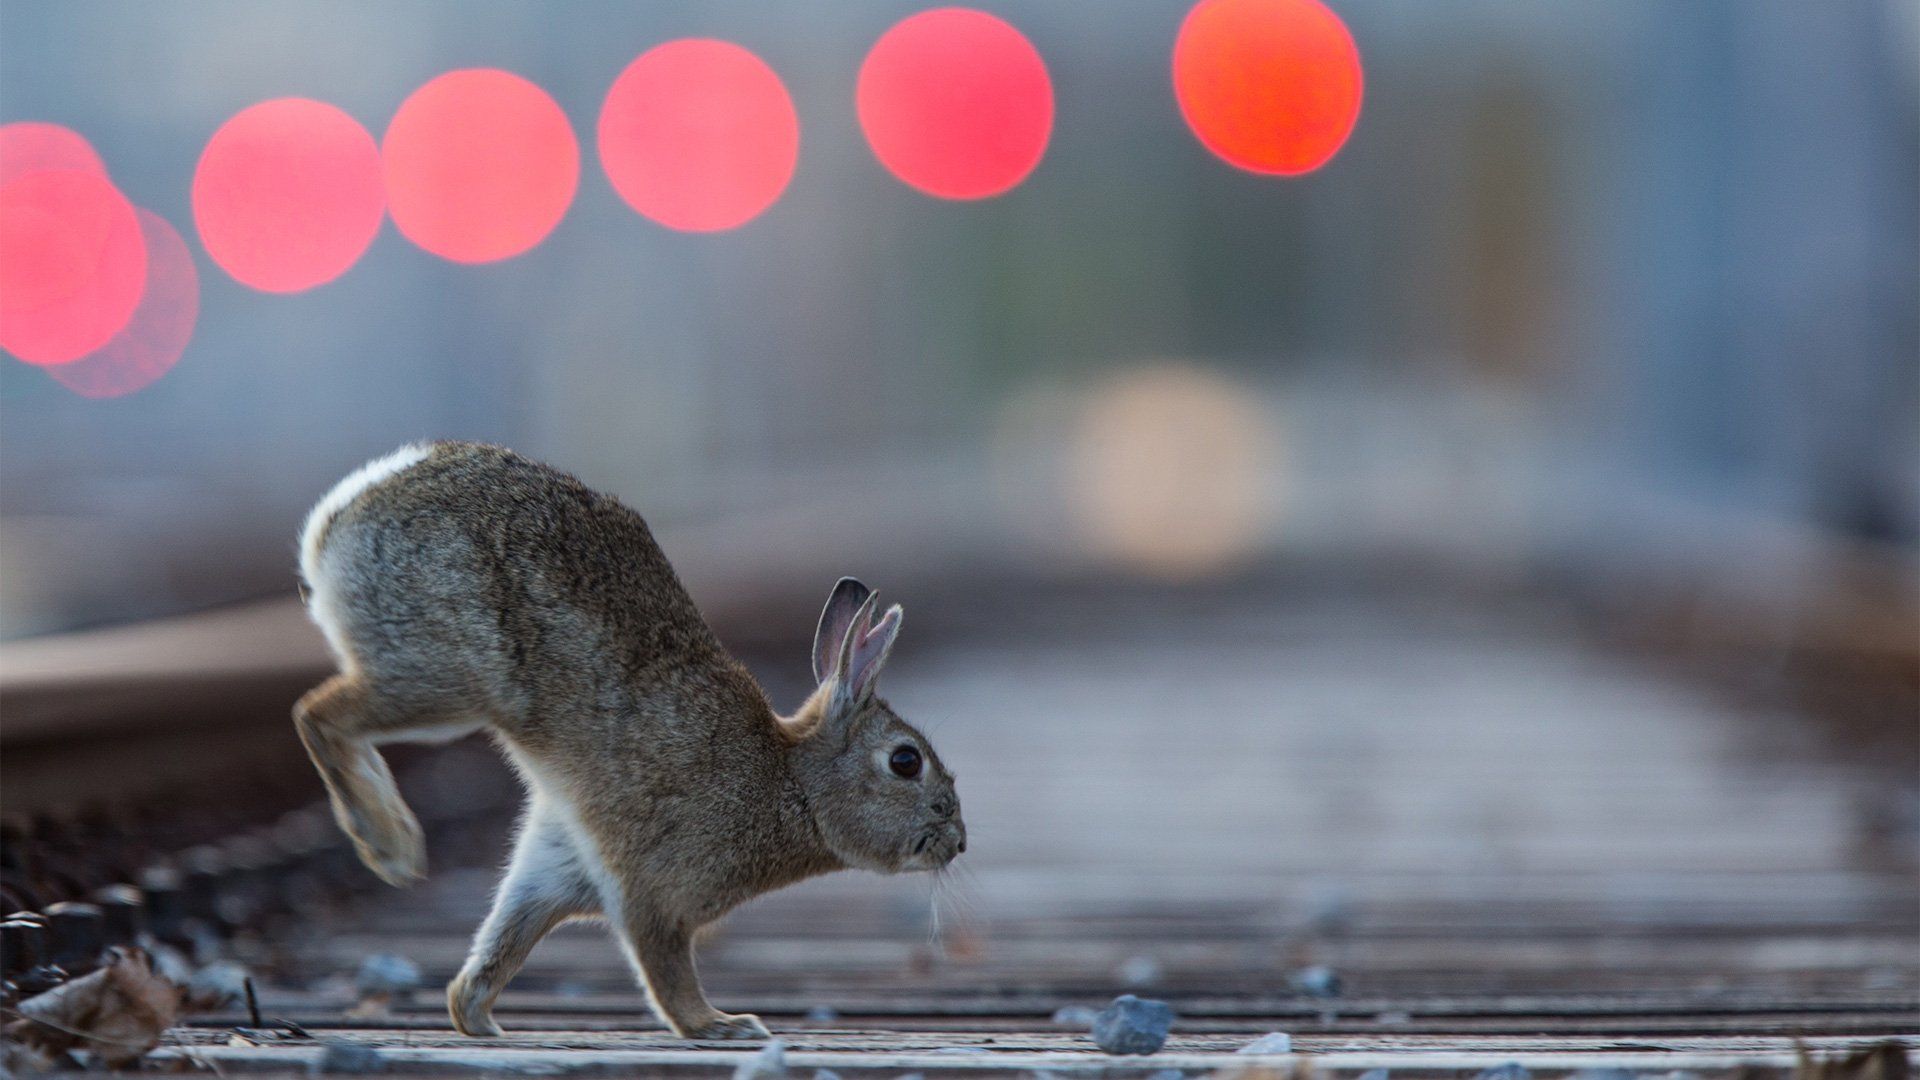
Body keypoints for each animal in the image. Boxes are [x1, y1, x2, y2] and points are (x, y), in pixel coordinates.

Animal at [293, 441, 964, 1040]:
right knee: (317, 713)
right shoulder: (656, 894)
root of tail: (345, 513)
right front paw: (722, 1026)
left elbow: (505, 940)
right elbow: (667, 972)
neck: (793, 784)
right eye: (906, 761)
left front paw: (475, 1015)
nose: (957, 843)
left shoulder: (558, 868)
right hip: (449, 676)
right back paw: (391, 845)